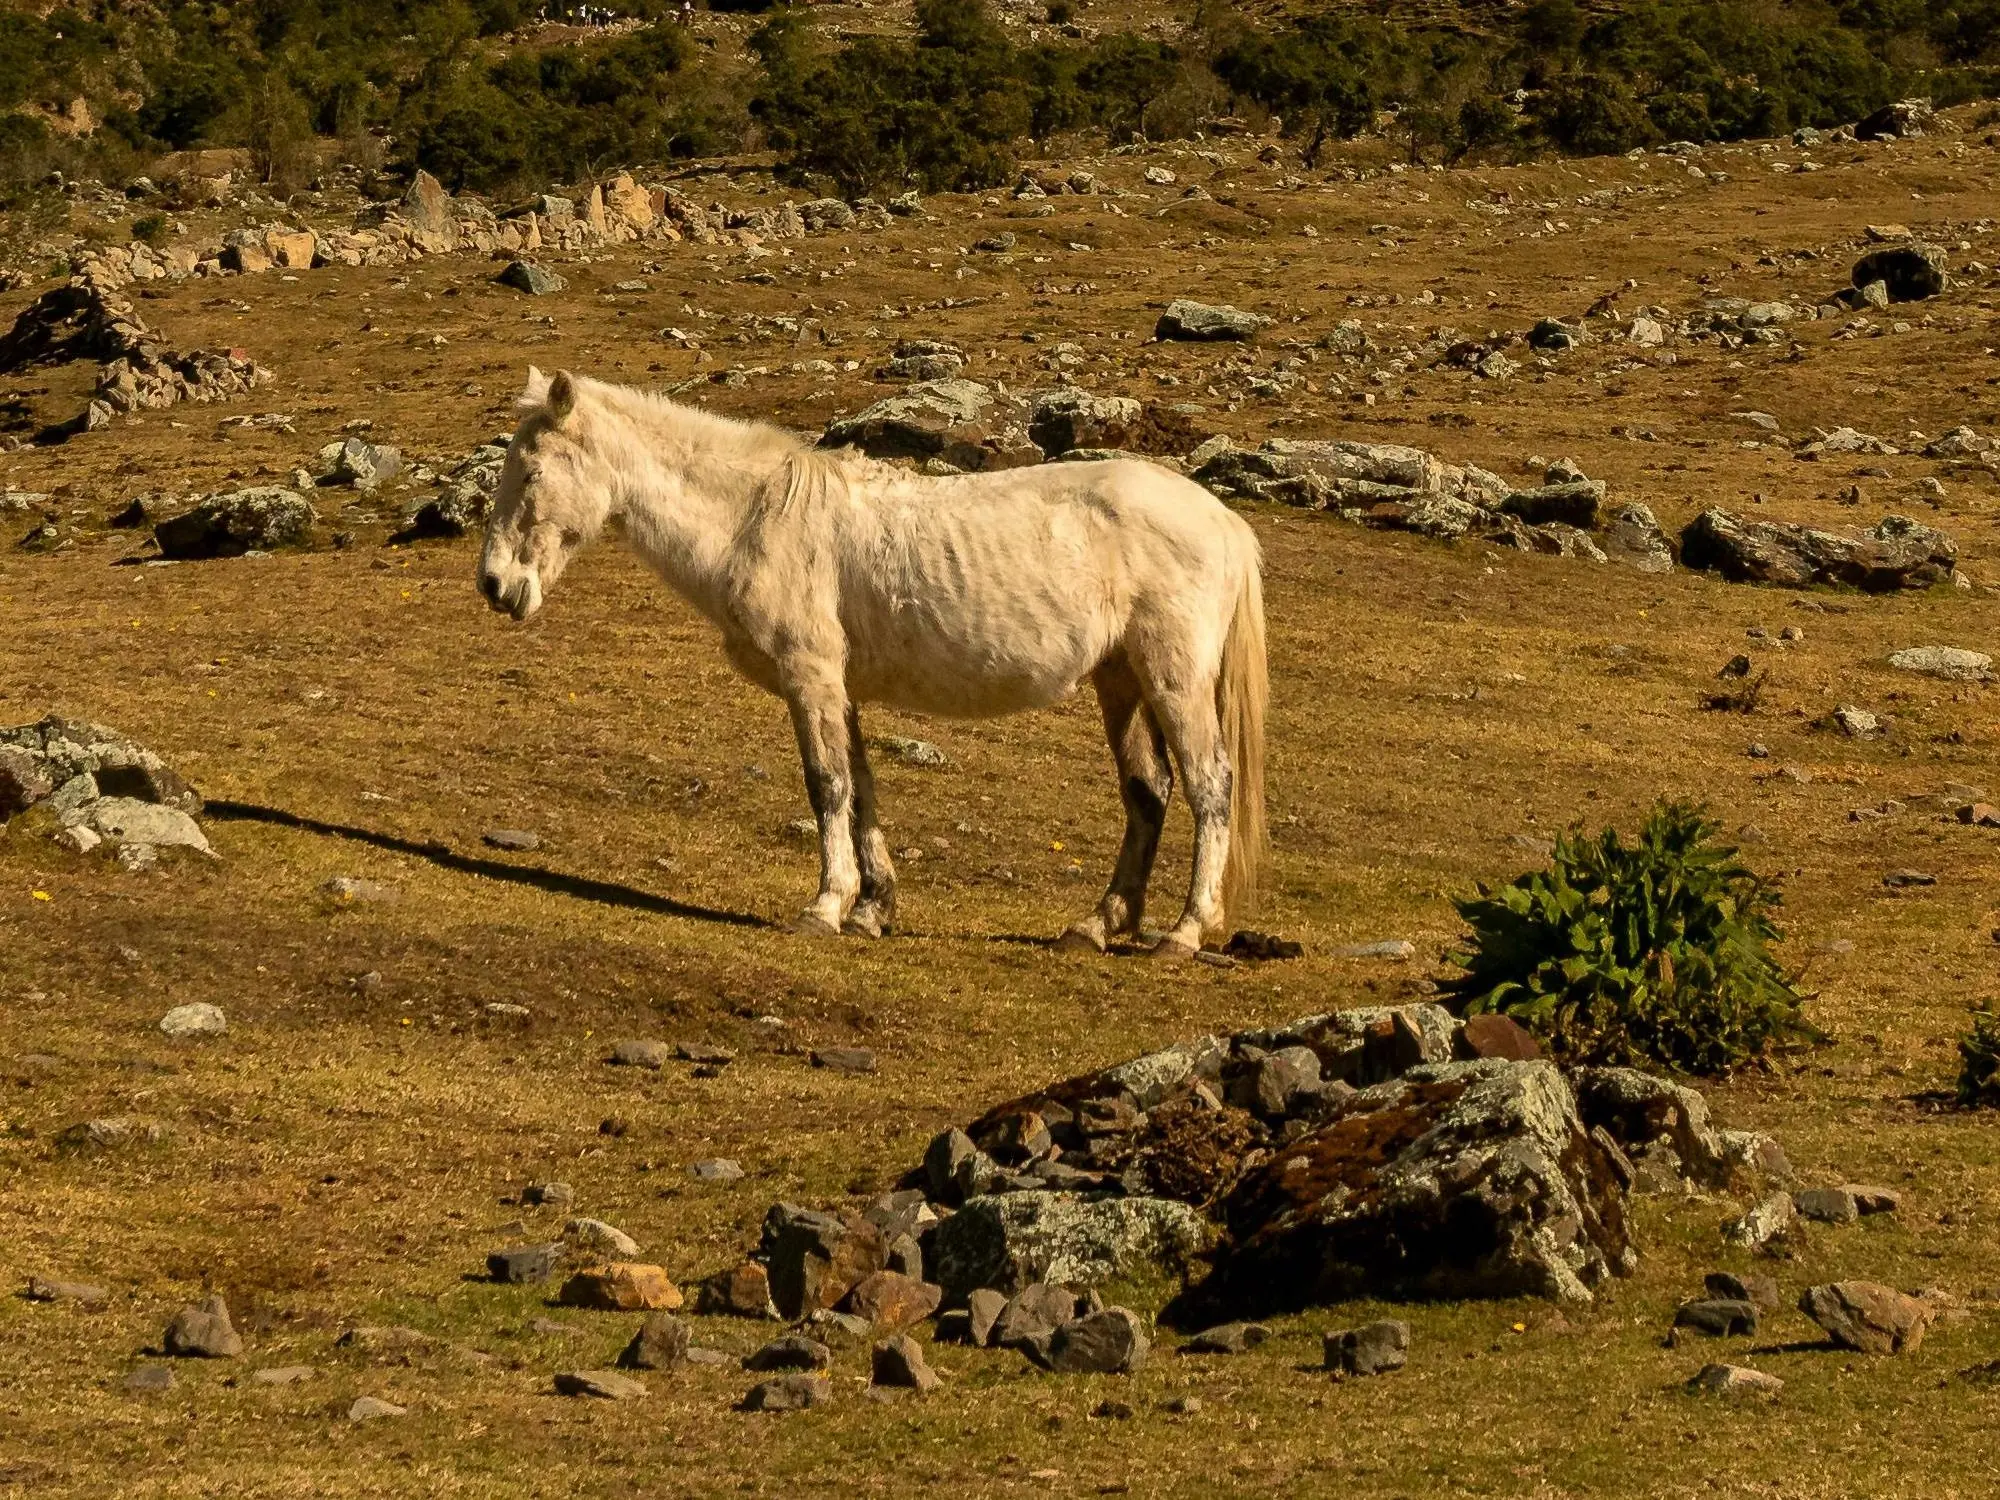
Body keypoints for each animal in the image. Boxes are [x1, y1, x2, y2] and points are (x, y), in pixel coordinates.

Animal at [480, 368, 1264, 952]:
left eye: (533, 471)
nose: (494, 584)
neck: (757, 519)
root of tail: (1222, 519)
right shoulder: (841, 689)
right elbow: (862, 790)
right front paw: (871, 909)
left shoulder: (810, 678)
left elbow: (826, 787)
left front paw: (825, 907)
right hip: (1120, 681)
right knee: (1148, 792)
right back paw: (1098, 924)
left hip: (1173, 679)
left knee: (1209, 785)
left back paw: (1185, 930)